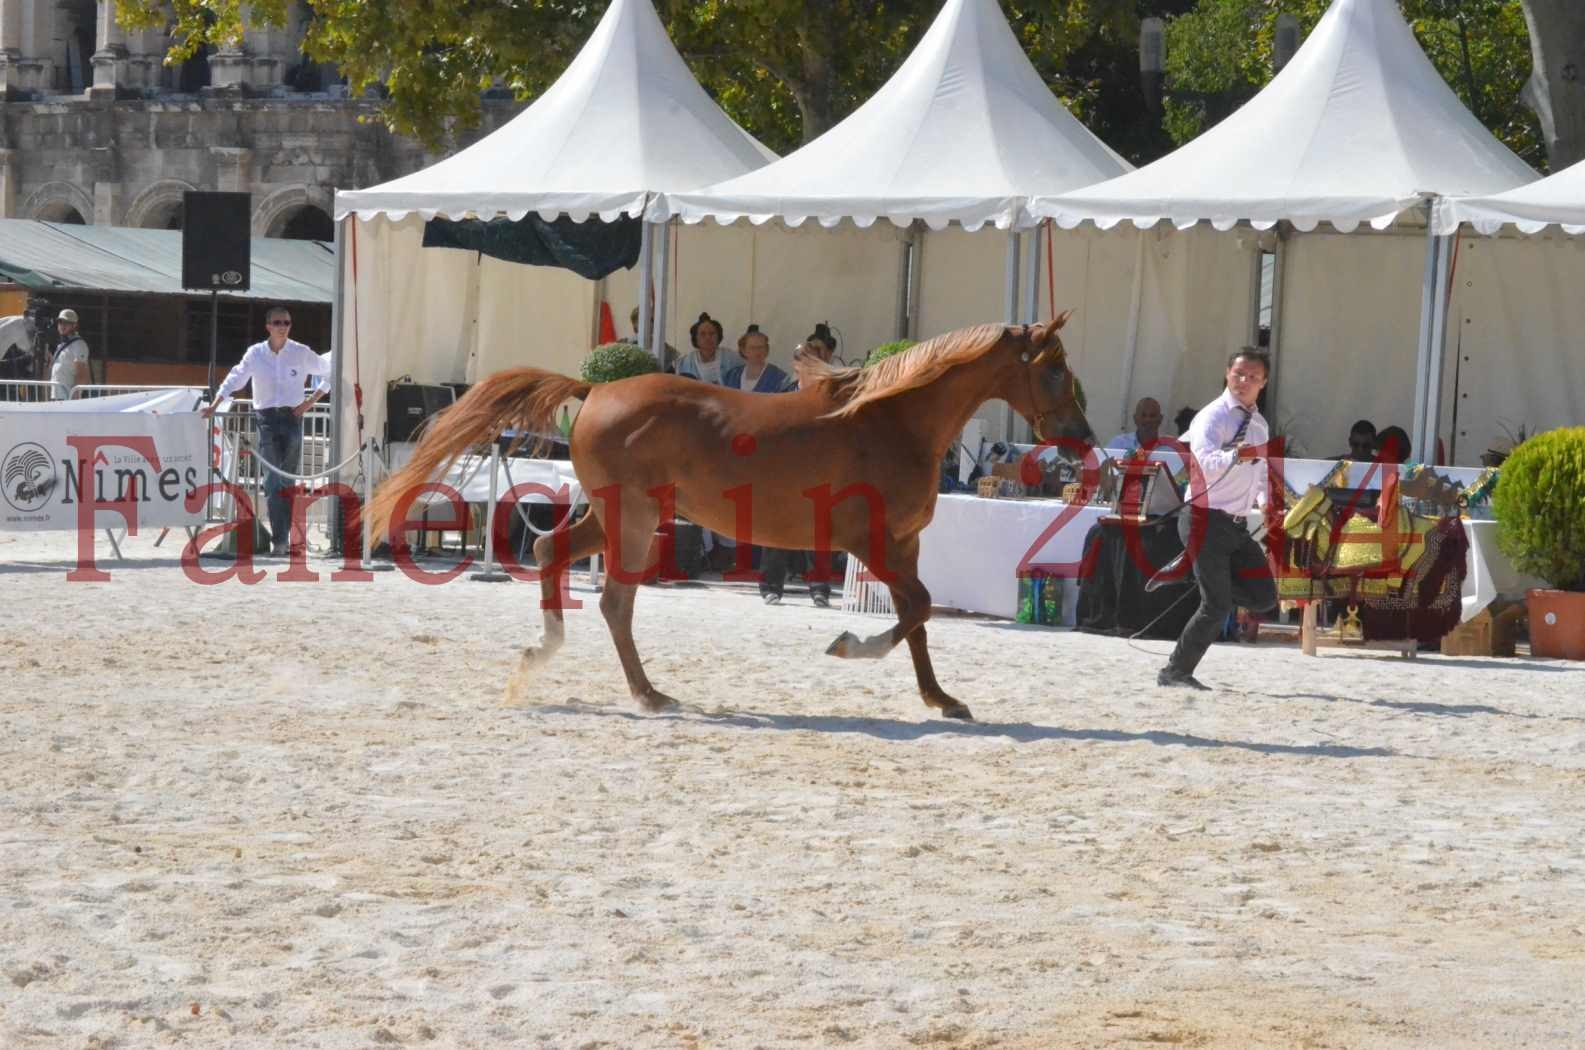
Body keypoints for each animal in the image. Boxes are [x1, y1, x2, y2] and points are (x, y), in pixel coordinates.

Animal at [367, 317, 1090, 720]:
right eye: (1054, 369)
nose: (1080, 438)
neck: (890, 420)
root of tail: (596, 389)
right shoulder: (874, 542)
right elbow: (916, 610)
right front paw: (849, 645)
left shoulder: (905, 545)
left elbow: (919, 623)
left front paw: (941, 700)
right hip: (632, 519)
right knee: (614, 602)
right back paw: (648, 696)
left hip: (616, 514)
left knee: (552, 557)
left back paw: (542, 657)